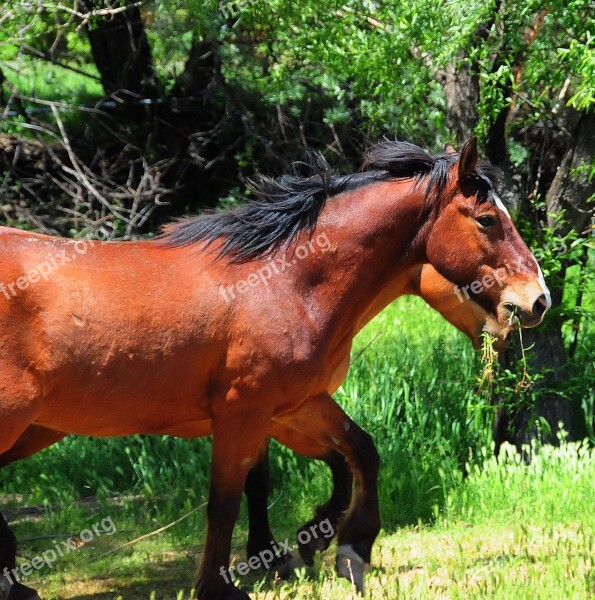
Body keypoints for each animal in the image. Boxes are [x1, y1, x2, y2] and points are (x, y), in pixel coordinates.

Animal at [0, 138, 548, 596]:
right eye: (486, 220)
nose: (538, 301)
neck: (283, 281)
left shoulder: (293, 406)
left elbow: (355, 453)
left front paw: (343, 548)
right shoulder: (244, 413)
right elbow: (227, 500)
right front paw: (224, 584)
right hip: (17, 423)